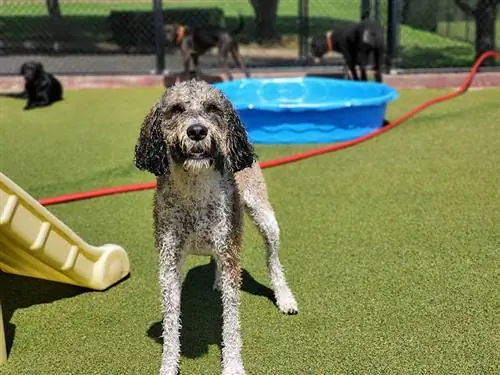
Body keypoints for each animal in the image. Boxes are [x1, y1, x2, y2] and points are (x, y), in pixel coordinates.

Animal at [134, 80, 296, 375]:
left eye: (212, 108)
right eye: (176, 109)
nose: (197, 130)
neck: (196, 191)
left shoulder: (231, 255)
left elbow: (231, 323)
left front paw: (232, 365)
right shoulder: (169, 261)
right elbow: (171, 322)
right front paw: (169, 365)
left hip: (264, 218)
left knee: (273, 261)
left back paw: (285, 298)